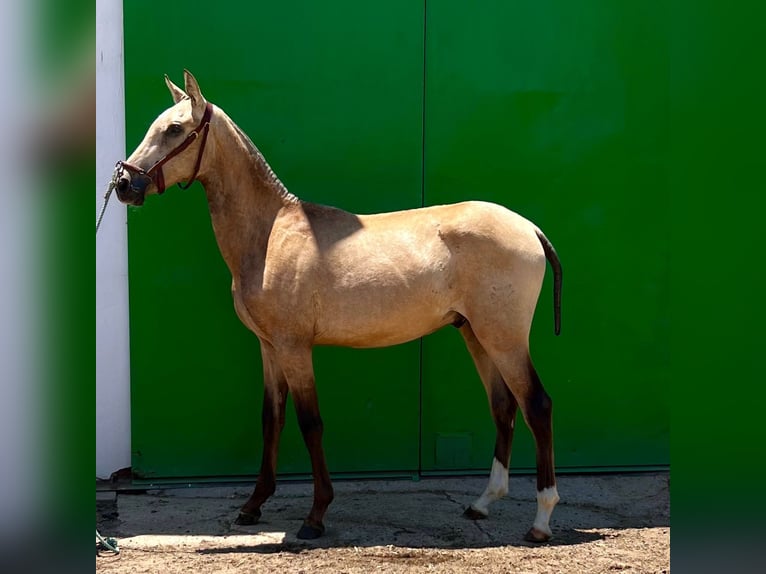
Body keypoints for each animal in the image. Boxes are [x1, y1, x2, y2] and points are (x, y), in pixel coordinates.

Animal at [117, 70, 568, 544]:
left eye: (175, 129)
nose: (125, 185)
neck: (270, 234)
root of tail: (529, 228)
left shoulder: (295, 348)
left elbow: (310, 423)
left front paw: (315, 516)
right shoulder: (269, 348)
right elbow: (271, 420)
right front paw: (253, 506)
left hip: (504, 338)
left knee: (537, 405)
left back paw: (541, 519)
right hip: (476, 335)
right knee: (504, 406)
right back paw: (483, 503)